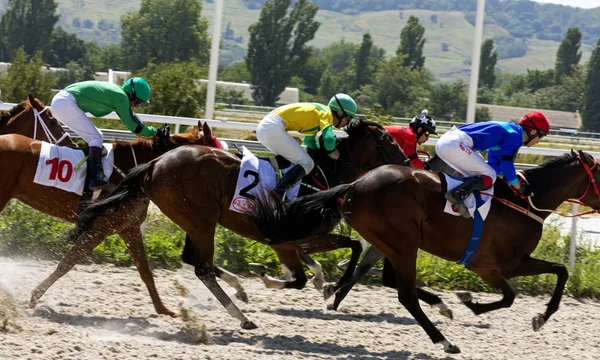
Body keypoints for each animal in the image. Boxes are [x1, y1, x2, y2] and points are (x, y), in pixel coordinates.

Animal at [0, 122, 216, 316]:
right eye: (217, 149)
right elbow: (67, 263)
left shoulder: (129, 228)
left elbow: (145, 270)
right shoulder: (100, 229)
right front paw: (34, 297)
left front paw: (164, 309)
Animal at [62, 119, 408, 330]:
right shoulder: (294, 238)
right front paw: (317, 286)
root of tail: (157, 162)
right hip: (202, 222)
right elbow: (333, 257)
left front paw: (320, 285)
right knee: (202, 267)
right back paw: (241, 316)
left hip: (195, 222)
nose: (407, 164)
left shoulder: (295, 240)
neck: (322, 178)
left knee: (195, 260)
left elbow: (339, 254)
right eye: (389, 140)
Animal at [246, 150, 600, 354]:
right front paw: (478, 304)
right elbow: (541, 280)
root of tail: (356, 185)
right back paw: (444, 341)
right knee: (406, 295)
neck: (525, 202)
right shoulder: (502, 264)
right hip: (404, 244)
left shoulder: (492, 266)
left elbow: (540, 280)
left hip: (390, 242)